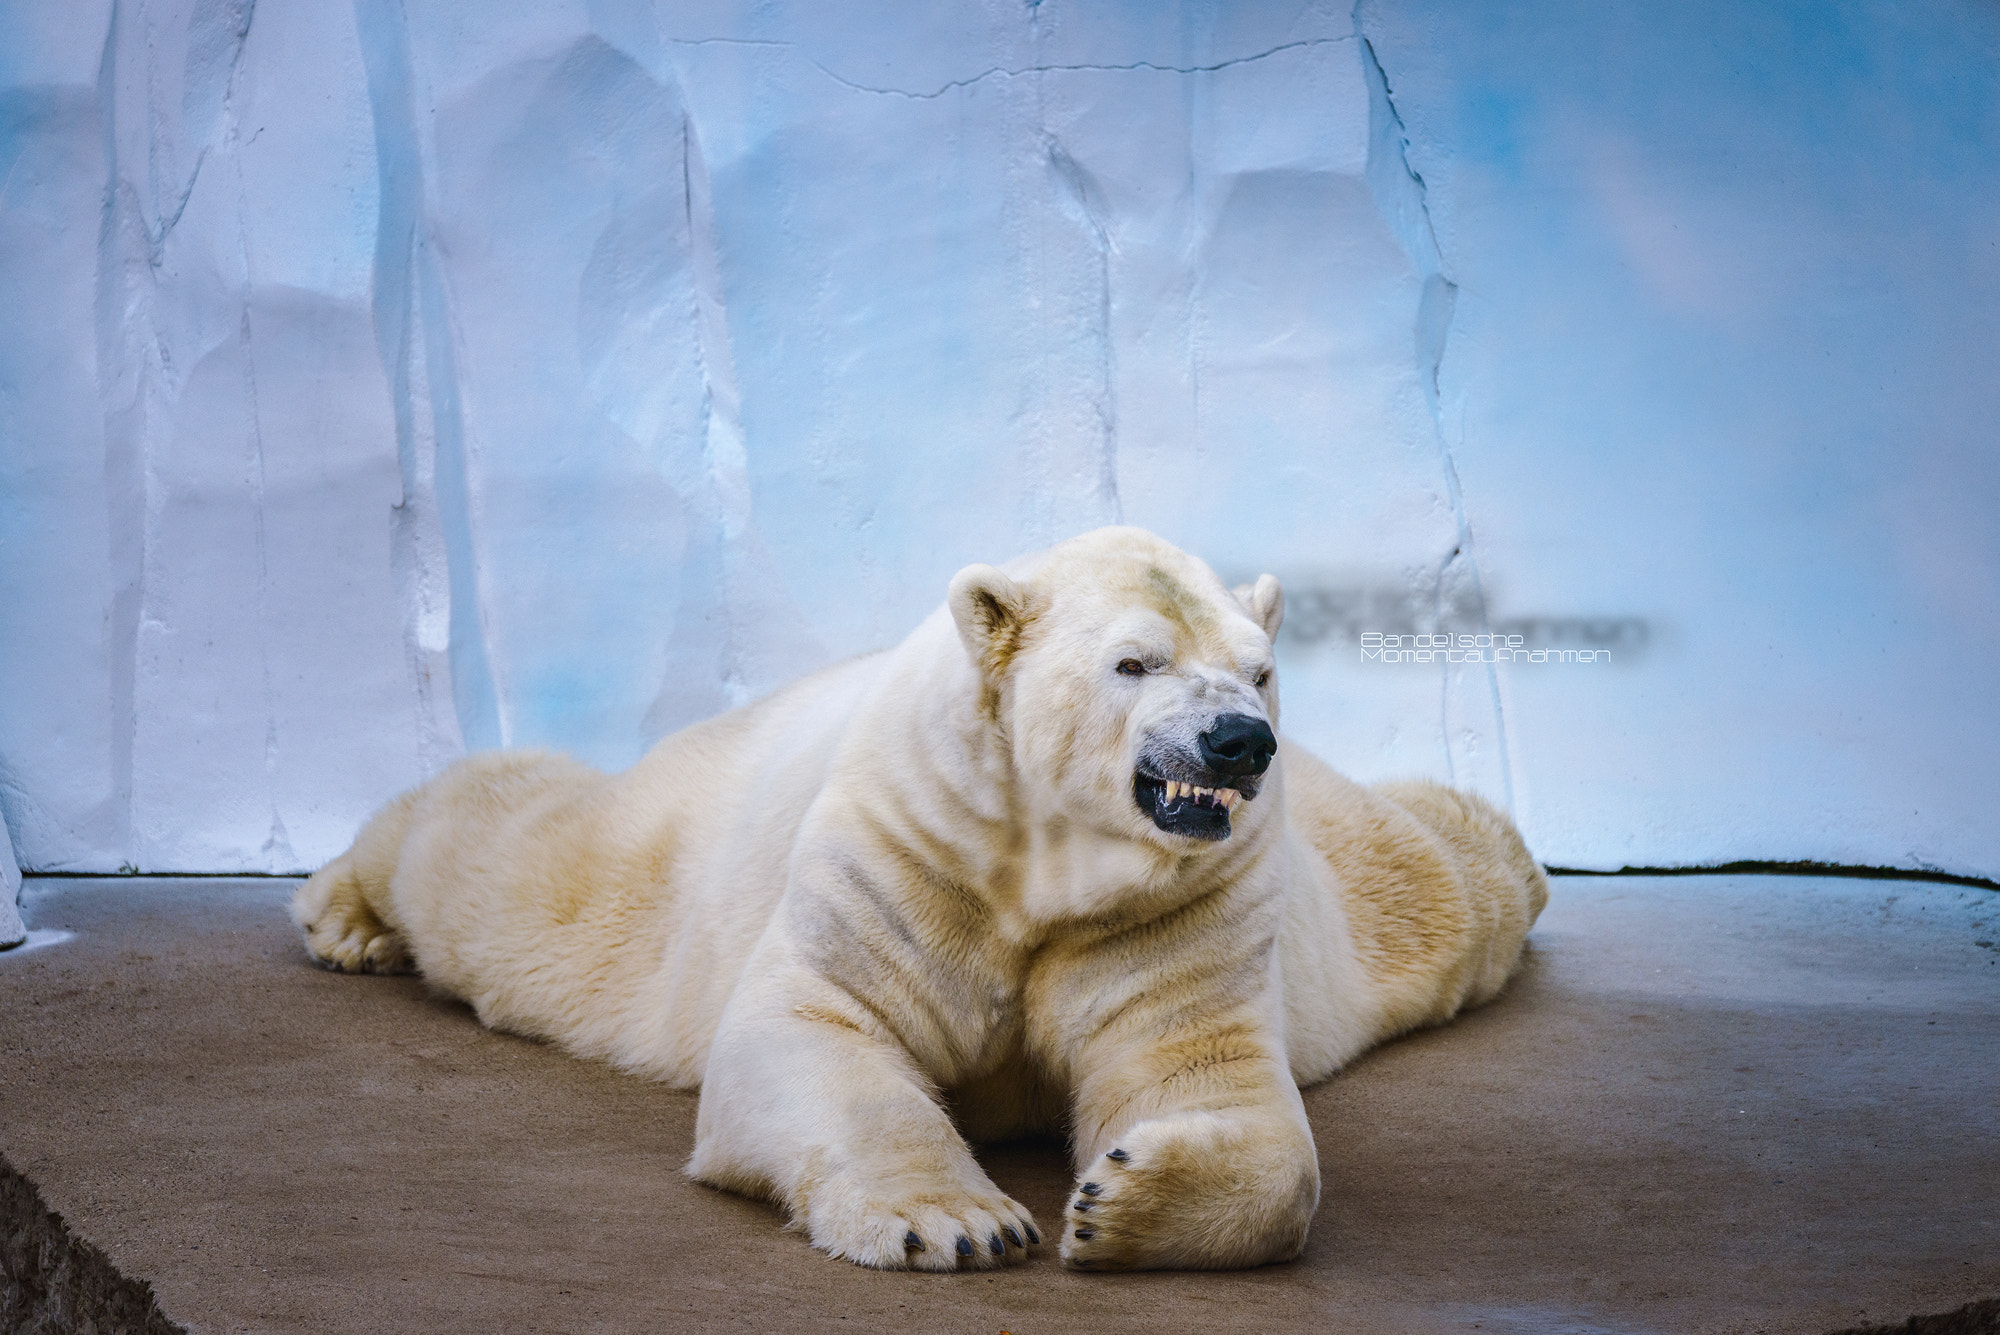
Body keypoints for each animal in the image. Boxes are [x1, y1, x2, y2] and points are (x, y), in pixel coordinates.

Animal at [293, 525, 1547, 1272]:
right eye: (1133, 663)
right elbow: (817, 1027)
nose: (1240, 741)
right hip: (658, 862)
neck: (1046, 865)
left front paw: (1118, 1200)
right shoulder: (911, 850)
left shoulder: (1186, 905)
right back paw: (345, 915)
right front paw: (958, 1222)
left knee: (1442, 885)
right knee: (514, 871)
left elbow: (1203, 1077)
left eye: (1259, 669)